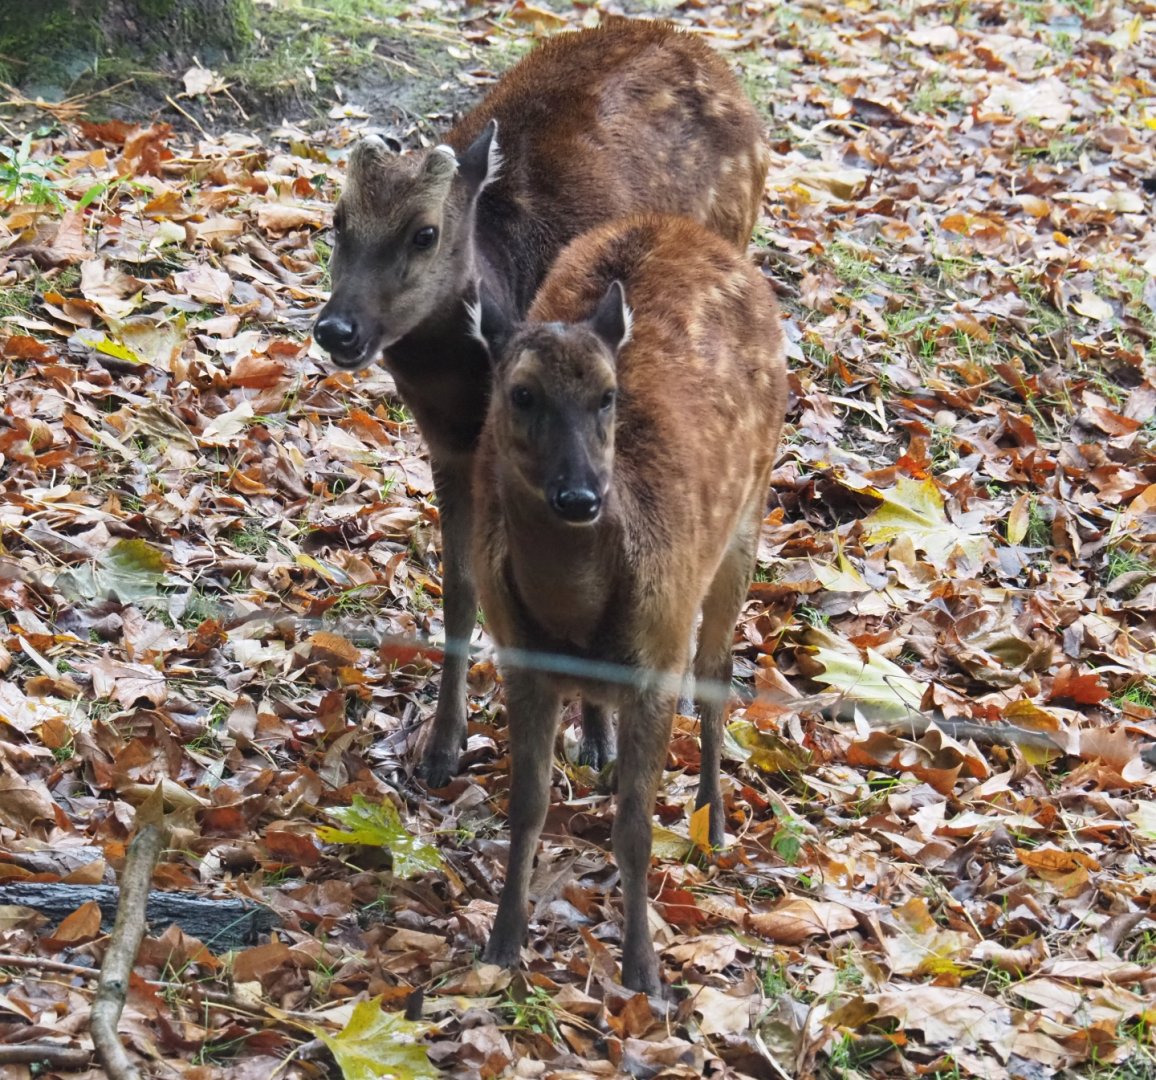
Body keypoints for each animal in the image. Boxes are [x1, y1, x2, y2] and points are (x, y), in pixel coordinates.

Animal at [311, 18, 770, 788]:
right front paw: (442, 749)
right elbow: (459, 591)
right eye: (338, 220)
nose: (337, 329)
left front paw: (595, 740)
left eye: (425, 231)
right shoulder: (449, 447)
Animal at [469, 214, 788, 995]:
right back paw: (599, 747)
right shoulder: (517, 653)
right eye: (522, 394)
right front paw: (503, 940)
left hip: (747, 516)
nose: (580, 496)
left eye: (608, 396)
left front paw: (644, 968)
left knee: (718, 672)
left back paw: (713, 819)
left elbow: (636, 830)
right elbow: (527, 807)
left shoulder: (659, 654)